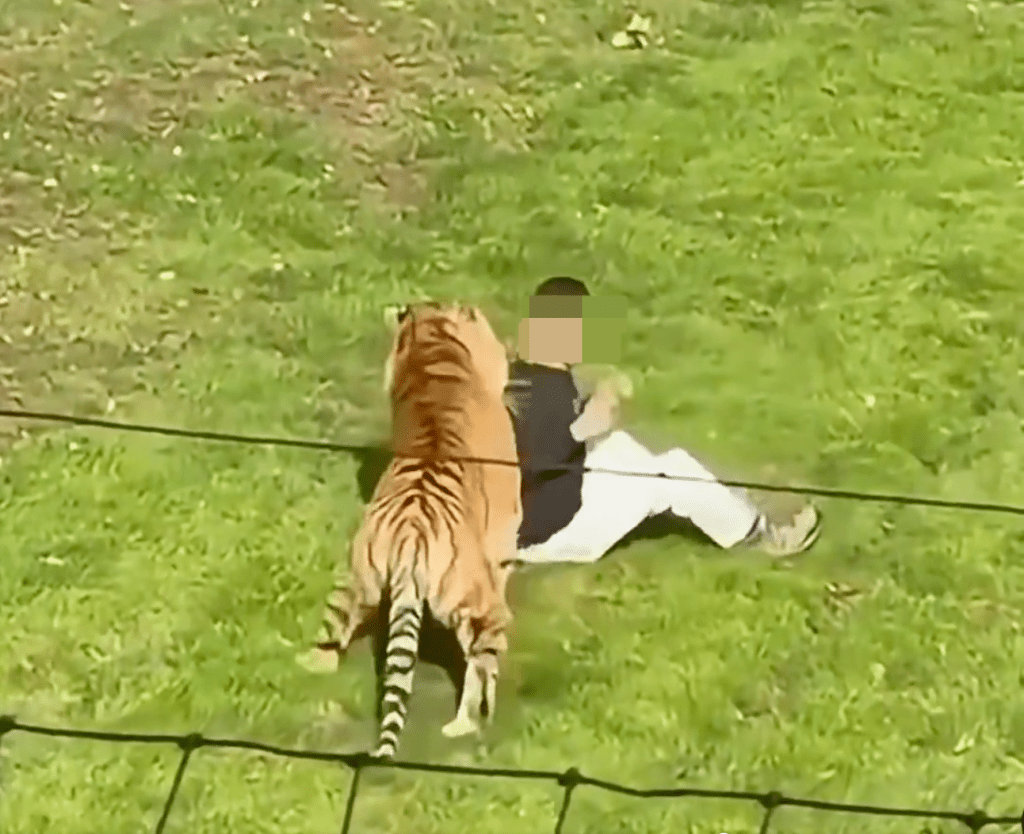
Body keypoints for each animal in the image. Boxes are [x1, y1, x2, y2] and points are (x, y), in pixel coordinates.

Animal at [296, 301, 522, 760]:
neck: (431, 347)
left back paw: (304, 666)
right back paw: (470, 721)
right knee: (482, 663)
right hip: (470, 601)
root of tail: (409, 536)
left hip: (357, 577)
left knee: (330, 637)